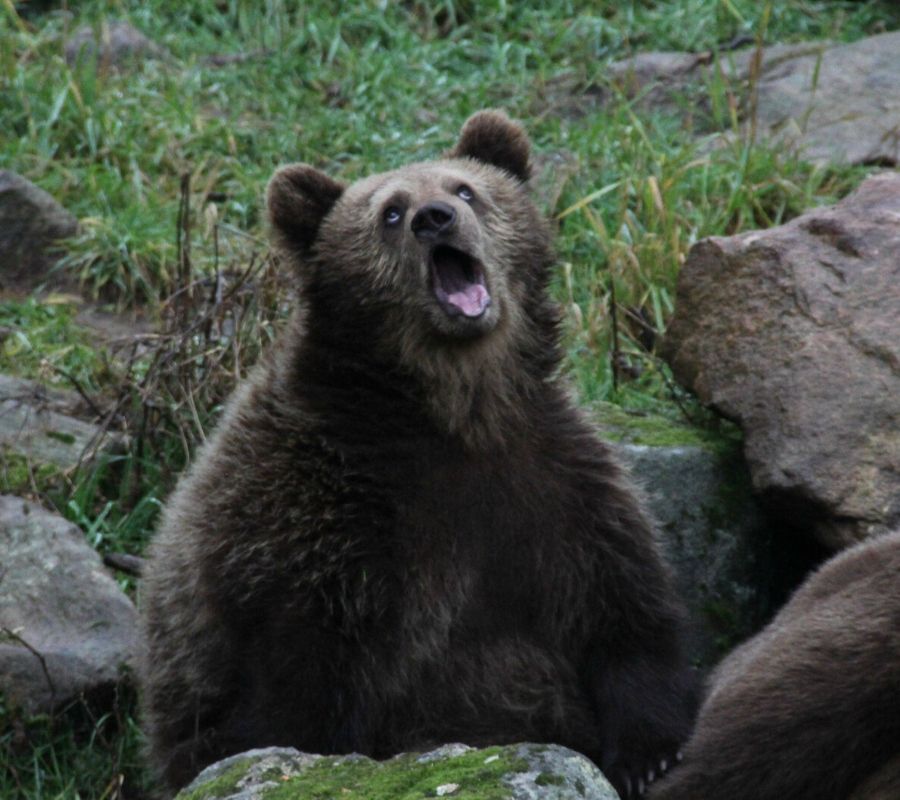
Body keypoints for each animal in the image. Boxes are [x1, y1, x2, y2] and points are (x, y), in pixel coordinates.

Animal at [139, 110, 699, 798]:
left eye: (465, 189)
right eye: (389, 211)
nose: (435, 217)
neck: (453, 414)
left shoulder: (553, 484)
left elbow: (623, 610)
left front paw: (650, 754)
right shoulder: (321, 526)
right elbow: (298, 695)